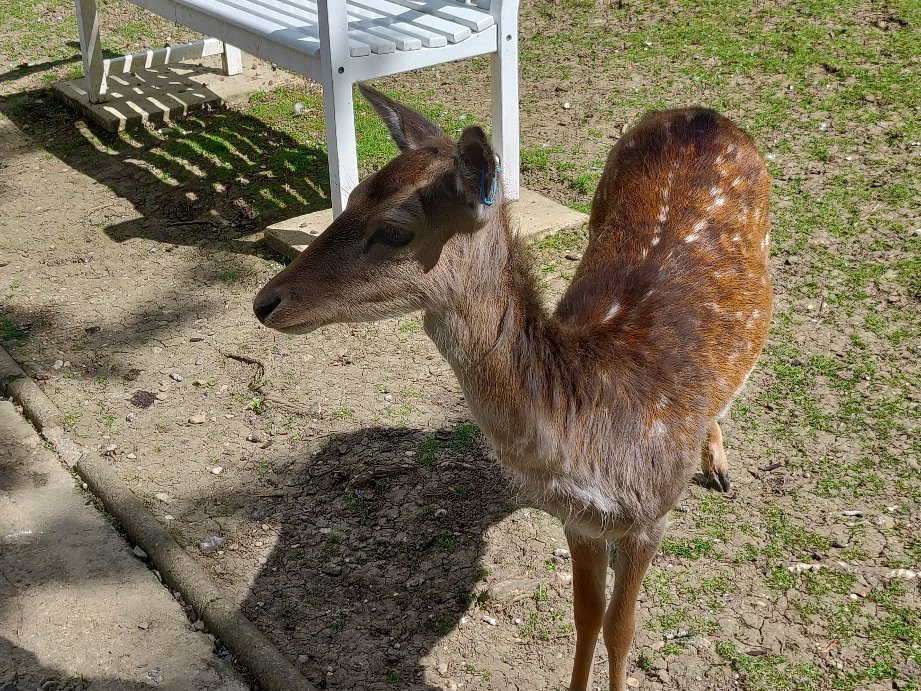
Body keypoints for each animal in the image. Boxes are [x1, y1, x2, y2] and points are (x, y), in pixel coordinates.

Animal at [252, 85, 768, 691]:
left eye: (396, 229)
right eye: (351, 194)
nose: (265, 301)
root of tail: (702, 114)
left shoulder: (653, 515)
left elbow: (622, 628)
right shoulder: (578, 520)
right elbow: (586, 615)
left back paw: (719, 466)